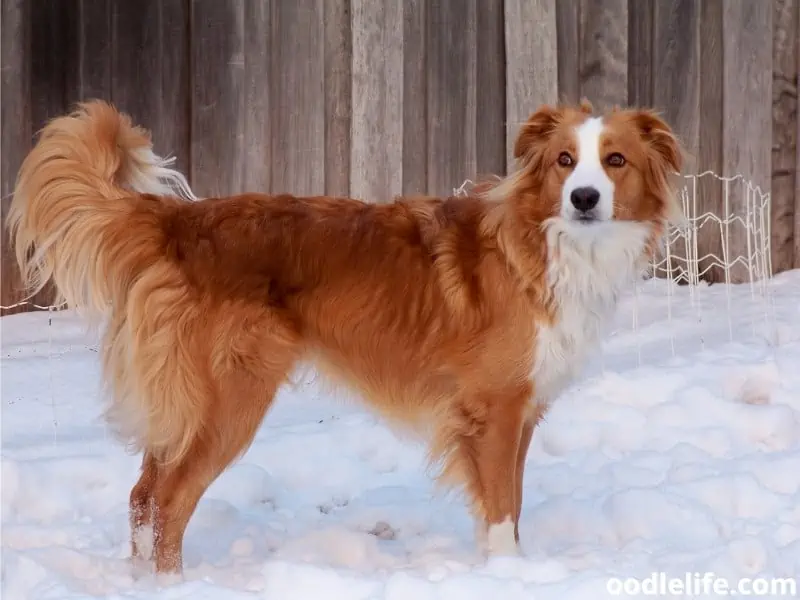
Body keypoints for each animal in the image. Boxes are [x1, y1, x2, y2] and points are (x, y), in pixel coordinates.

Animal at [6, 97, 680, 572]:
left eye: (615, 160)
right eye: (565, 161)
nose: (584, 197)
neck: (550, 244)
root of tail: (179, 221)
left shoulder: (521, 413)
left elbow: (508, 508)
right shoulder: (494, 411)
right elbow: (500, 512)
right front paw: (508, 576)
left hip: (184, 407)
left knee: (142, 496)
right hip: (230, 400)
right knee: (169, 503)